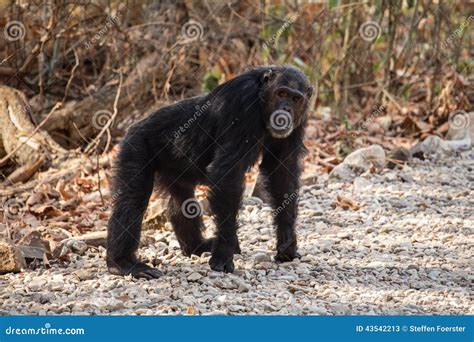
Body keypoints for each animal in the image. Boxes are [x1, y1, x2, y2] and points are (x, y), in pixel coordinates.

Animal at [107, 64, 314, 278]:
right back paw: (123, 263)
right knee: (133, 199)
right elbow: (227, 173)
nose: (286, 109)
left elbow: (281, 171)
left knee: (182, 201)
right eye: (282, 93)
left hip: (174, 170)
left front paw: (287, 243)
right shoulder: (243, 104)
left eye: (295, 99)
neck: (261, 100)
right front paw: (224, 254)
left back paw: (196, 246)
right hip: (136, 146)